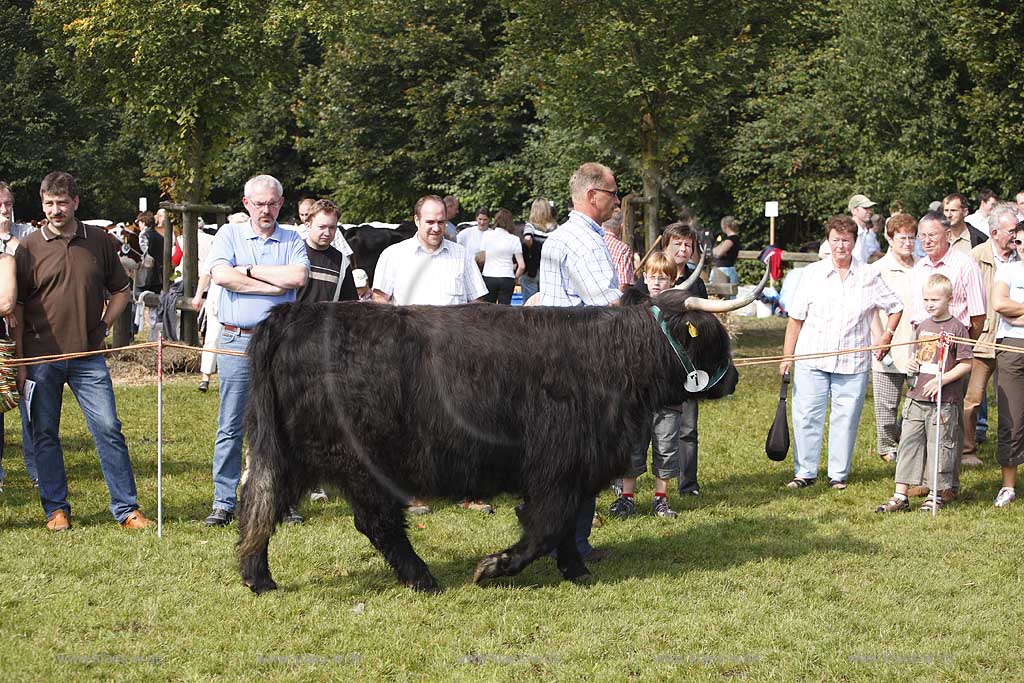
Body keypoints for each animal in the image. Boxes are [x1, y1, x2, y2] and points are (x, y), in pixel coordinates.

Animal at [237, 266, 770, 593]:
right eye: (714, 337)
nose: (735, 379)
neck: (613, 358)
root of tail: (292, 316)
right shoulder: (557, 466)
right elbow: (547, 525)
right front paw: (494, 566)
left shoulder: (576, 467)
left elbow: (566, 525)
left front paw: (576, 570)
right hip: (358, 460)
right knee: (375, 521)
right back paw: (422, 577)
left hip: (288, 451)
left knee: (259, 501)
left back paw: (257, 577)